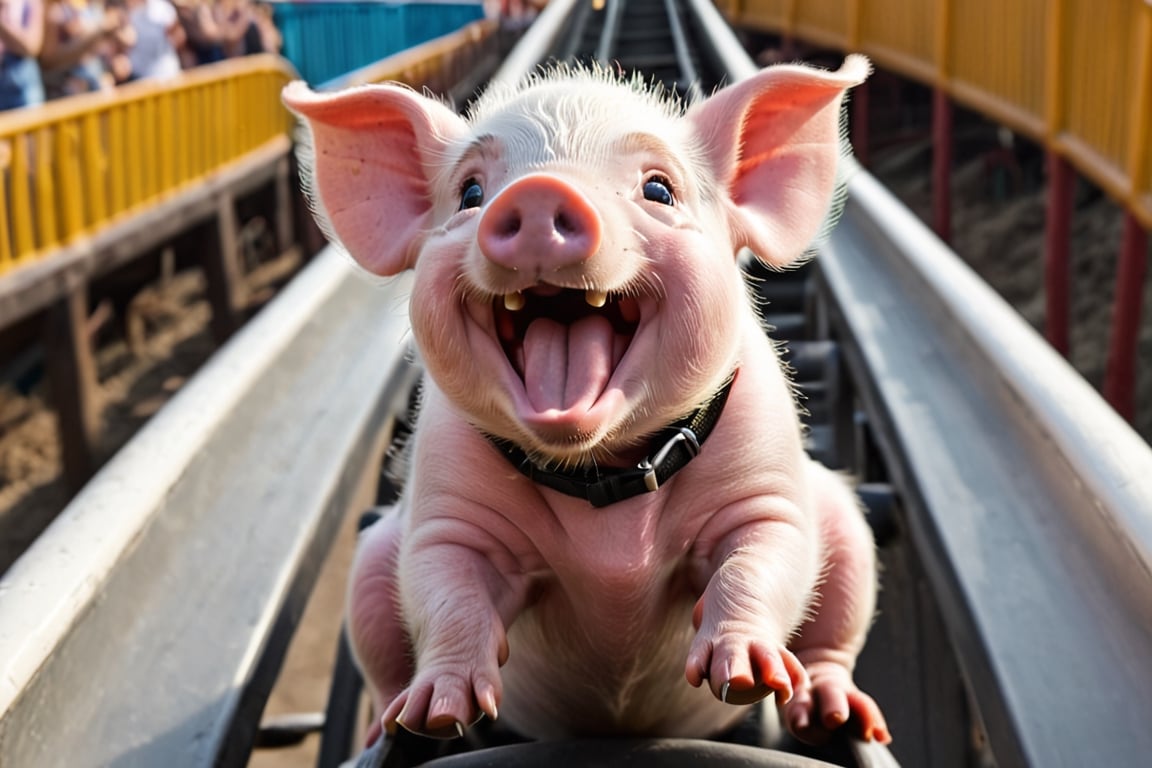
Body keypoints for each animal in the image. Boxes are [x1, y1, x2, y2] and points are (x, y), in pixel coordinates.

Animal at [282, 55, 890, 750]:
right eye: (470, 193)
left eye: (659, 190)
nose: (540, 191)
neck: (603, 485)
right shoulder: (446, 507)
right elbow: (445, 588)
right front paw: (438, 713)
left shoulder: (765, 480)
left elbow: (762, 557)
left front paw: (746, 676)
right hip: (372, 558)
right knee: (382, 650)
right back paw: (391, 726)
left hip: (845, 523)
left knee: (833, 632)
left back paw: (838, 713)